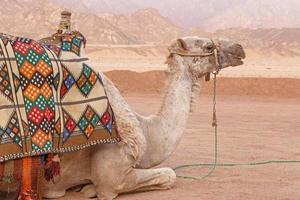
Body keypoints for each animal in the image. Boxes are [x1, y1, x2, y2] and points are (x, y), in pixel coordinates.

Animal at [44, 36, 246, 199]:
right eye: (208, 45)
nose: (239, 48)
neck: (145, 128)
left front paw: (83, 187)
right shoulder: (112, 177)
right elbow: (170, 175)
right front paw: (88, 189)